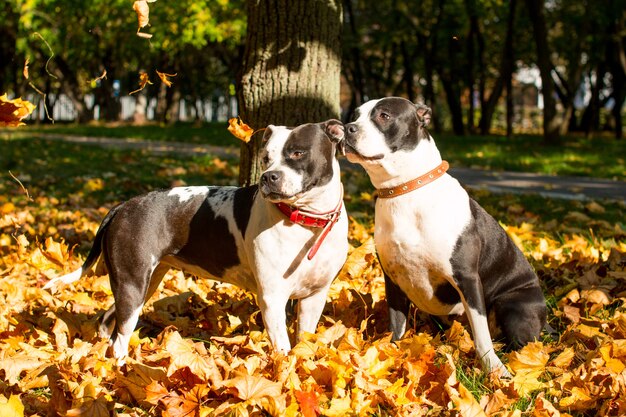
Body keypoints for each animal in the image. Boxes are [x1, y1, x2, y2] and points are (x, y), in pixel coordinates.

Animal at [44, 119, 346, 360]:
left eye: (297, 153)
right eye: (266, 158)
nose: (268, 177)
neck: (307, 220)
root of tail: (122, 206)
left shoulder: (315, 297)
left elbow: (304, 341)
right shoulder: (272, 298)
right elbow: (282, 348)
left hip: (143, 284)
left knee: (109, 321)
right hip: (132, 283)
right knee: (120, 337)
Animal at [342, 97, 544, 374]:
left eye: (384, 116)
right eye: (355, 115)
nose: (347, 128)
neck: (404, 190)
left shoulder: (467, 279)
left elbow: (481, 334)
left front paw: (493, 368)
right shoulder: (392, 279)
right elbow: (397, 327)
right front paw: (392, 356)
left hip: (513, 307)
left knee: (524, 344)